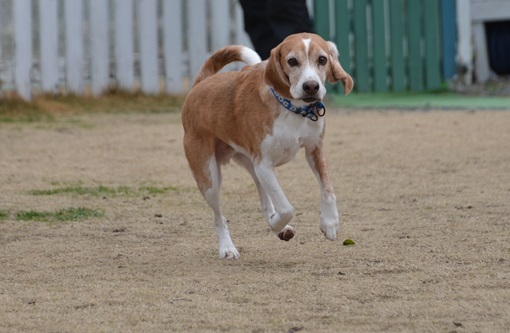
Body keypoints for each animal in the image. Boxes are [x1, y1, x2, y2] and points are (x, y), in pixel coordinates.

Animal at [181, 32, 352, 258]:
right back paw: (227, 247)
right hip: (209, 177)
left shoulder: (314, 150)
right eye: (292, 61)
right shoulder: (264, 165)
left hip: (252, 167)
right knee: (218, 217)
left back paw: (280, 229)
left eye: (322, 59)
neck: (291, 109)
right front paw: (275, 224)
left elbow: (328, 189)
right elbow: (287, 208)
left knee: (265, 204)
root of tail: (201, 82)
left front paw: (329, 222)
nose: (311, 86)